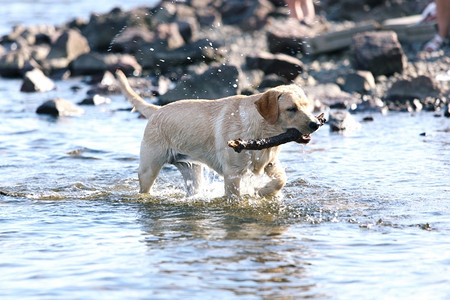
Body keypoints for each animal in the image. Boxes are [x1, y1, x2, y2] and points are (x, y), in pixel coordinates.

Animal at [116, 69, 320, 198]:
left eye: (307, 106)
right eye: (291, 109)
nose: (316, 123)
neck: (261, 131)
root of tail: (156, 110)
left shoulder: (269, 162)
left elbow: (281, 180)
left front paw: (263, 191)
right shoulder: (232, 174)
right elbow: (234, 197)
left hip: (191, 170)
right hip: (149, 168)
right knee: (145, 187)